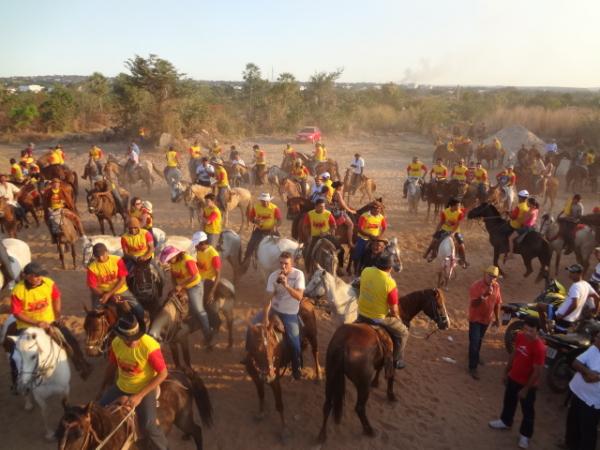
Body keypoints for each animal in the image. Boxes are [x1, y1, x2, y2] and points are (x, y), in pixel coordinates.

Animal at [243, 298, 322, 442]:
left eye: (274, 346)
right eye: (255, 348)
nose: (268, 376)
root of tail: (306, 300)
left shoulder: (275, 380)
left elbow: (279, 405)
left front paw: (284, 430)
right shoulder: (255, 377)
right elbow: (261, 395)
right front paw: (260, 413)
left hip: (313, 337)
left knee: (315, 353)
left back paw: (318, 376)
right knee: (299, 352)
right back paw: (295, 373)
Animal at [318, 288, 450, 442]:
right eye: (439, 304)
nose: (446, 324)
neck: (401, 313)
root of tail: (343, 344)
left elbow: (381, 367)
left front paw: (376, 382)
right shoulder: (394, 357)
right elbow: (391, 376)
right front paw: (391, 396)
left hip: (331, 376)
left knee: (327, 404)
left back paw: (322, 435)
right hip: (362, 384)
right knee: (359, 408)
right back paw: (369, 430)